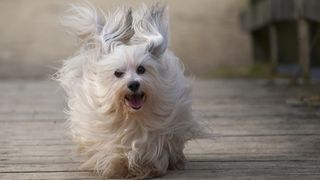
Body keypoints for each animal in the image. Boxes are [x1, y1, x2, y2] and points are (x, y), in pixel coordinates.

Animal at [56, 2, 204, 179]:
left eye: (141, 69)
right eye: (118, 73)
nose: (133, 84)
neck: (133, 116)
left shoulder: (163, 128)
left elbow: (155, 146)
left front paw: (148, 167)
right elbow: (113, 150)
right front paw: (117, 166)